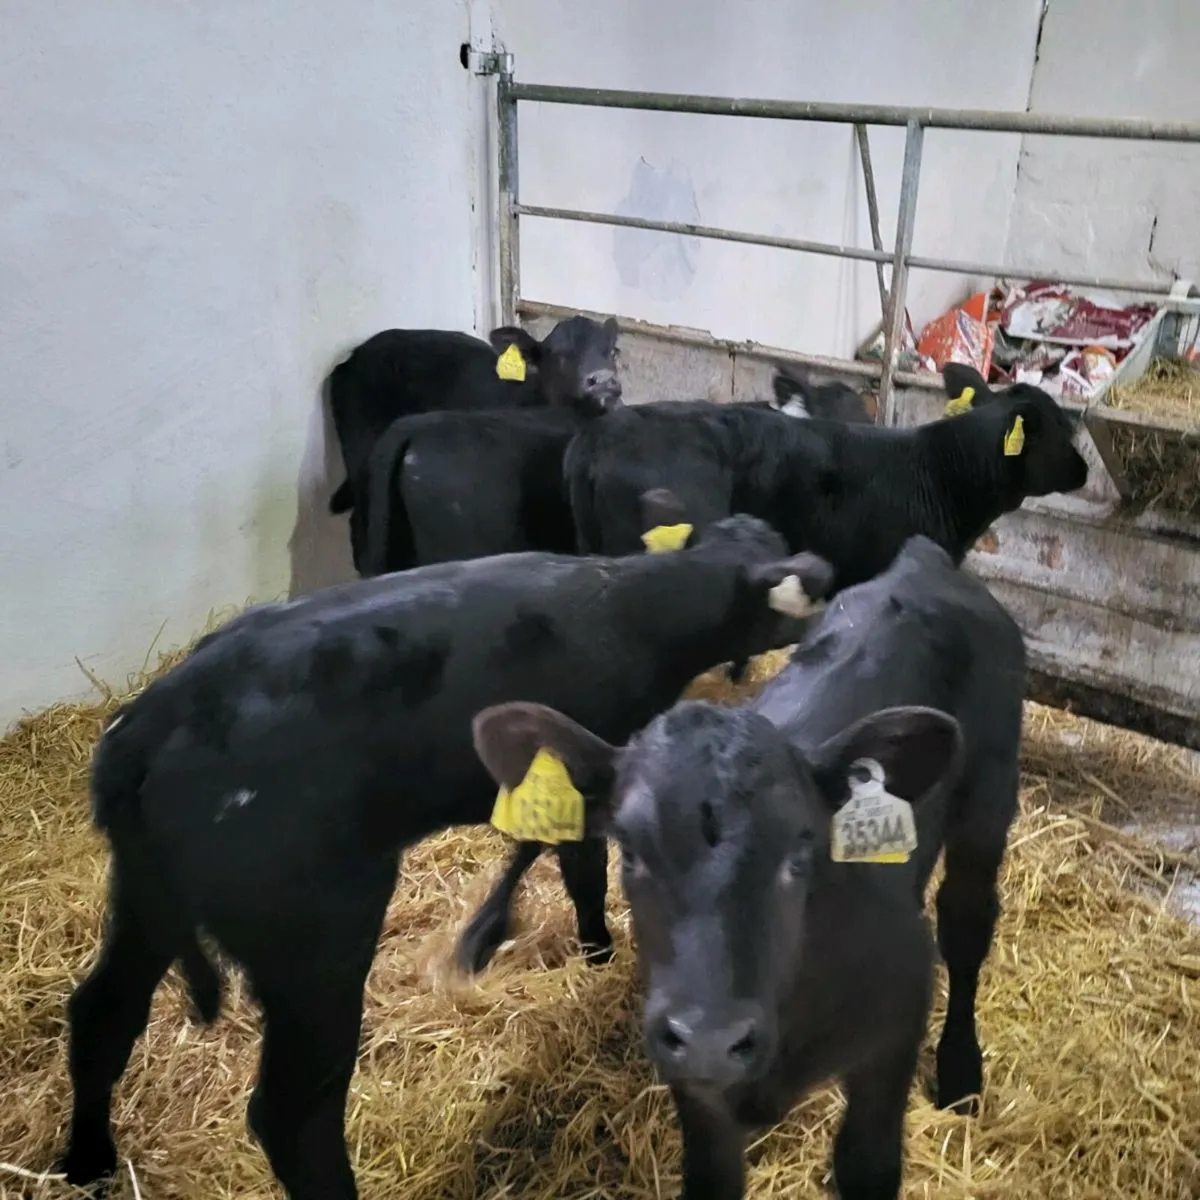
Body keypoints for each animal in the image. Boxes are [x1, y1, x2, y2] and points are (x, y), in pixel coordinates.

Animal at [58, 509, 835, 1200]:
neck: (632, 605)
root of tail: (147, 726)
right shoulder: (588, 766)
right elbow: (577, 867)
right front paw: (586, 948)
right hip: (315, 941)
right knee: (294, 1114)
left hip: (145, 905)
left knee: (102, 1016)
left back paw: (88, 1162)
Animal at [471, 533, 1026, 1199]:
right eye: (629, 848)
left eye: (802, 847)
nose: (711, 1038)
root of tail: (924, 559)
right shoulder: (696, 1091)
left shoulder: (891, 1037)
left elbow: (867, 1165)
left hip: (989, 801)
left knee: (967, 926)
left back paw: (962, 1071)